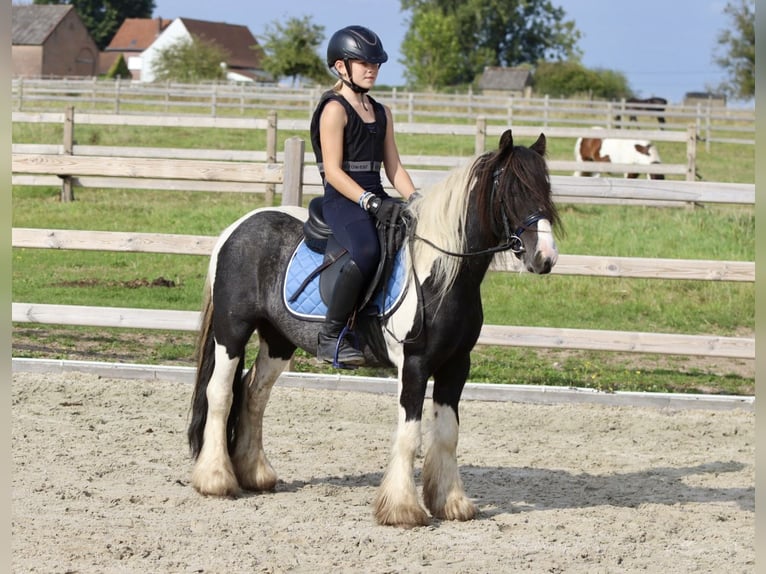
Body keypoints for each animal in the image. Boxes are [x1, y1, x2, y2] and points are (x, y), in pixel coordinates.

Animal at [184, 130, 560, 532]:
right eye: (513, 190)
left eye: (545, 187)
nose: (546, 258)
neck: (442, 273)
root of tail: (237, 228)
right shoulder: (414, 365)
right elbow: (410, 435)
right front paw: (402, 509)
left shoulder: (456, 365)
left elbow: (447, 434)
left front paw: (451, 502)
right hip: (232, 331)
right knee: (220, 393)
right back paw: (216, 479)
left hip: (278, 340)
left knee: (254, 394)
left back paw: (255, 474)